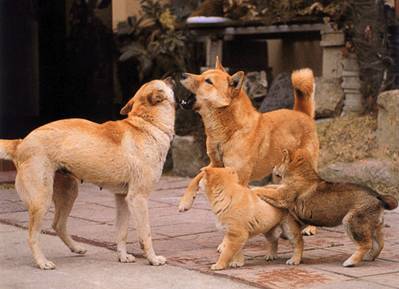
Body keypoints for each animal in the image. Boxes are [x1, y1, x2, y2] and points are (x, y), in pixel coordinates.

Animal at [0, 77, 177, 268]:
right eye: (162, 83)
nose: (171, 77)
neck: (147, 125)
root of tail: (20, 143)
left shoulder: (123, 198)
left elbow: (121, 232)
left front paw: (122, 256)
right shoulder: (138, 198)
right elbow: (146, 234)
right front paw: (153, 259)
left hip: (68, 193)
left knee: (58, 225)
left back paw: (76, 248)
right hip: (41, 200)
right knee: (32, 235)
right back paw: (42, 262)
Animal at [178, 57, 318, 235]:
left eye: (208, 81)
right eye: (202, 74)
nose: (182, 74)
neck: (230, 130)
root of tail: (301, 113)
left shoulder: (238, 176)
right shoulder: (214, 164)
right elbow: (196, 177)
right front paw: (185, 201)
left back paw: (311, 226)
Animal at [256, 148, 399, 266]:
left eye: (281, 161)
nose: (273, 166)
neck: (302, 173)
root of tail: (377, 195)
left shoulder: (282, 195)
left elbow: (265, 190)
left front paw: (254, 189)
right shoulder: (282, 191)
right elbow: (270, 187)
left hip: (352, 222)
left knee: (366, 244)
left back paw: (350, 262)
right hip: (373, 226)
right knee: (380, 244)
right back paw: (369, 257)